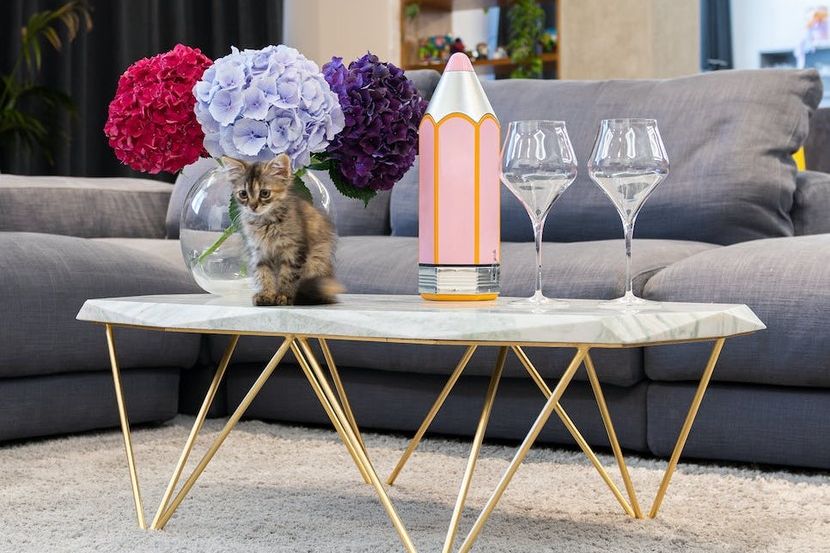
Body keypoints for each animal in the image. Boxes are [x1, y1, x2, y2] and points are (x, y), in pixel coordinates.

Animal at [223, 154, 343, 306]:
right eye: (243, 194)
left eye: (264, 193)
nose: (253, 206)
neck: (265, 223)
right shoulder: (259, 252)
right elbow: (264, 275)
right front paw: (267, 294)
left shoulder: (293, 250)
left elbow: (288, 276)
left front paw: (283, 295)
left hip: (317, 261)